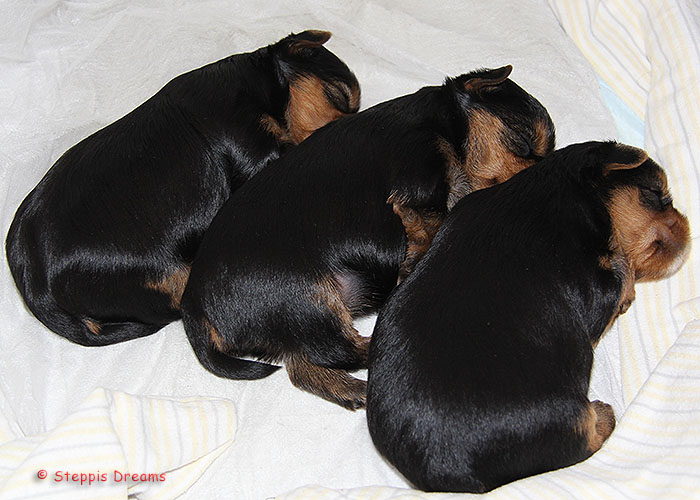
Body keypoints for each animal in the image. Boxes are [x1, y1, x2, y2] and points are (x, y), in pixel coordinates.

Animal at [180, 65, 556, 410]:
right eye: (523, 140)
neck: (444, 123)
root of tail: (193, 305)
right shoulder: (419, 172)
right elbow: (432, 217)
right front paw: (415, 256)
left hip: (298, 316)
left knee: (302, 364)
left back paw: (351, 389)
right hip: (303, 294)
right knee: (340, 350)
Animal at [366, 141, 691, 492]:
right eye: (657, 193)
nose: (687, 227)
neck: (557, 193)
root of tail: (447, 470)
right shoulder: (594, 290)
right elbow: (621, 275)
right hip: (561, 414)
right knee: (586, 432)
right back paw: (603, 413)